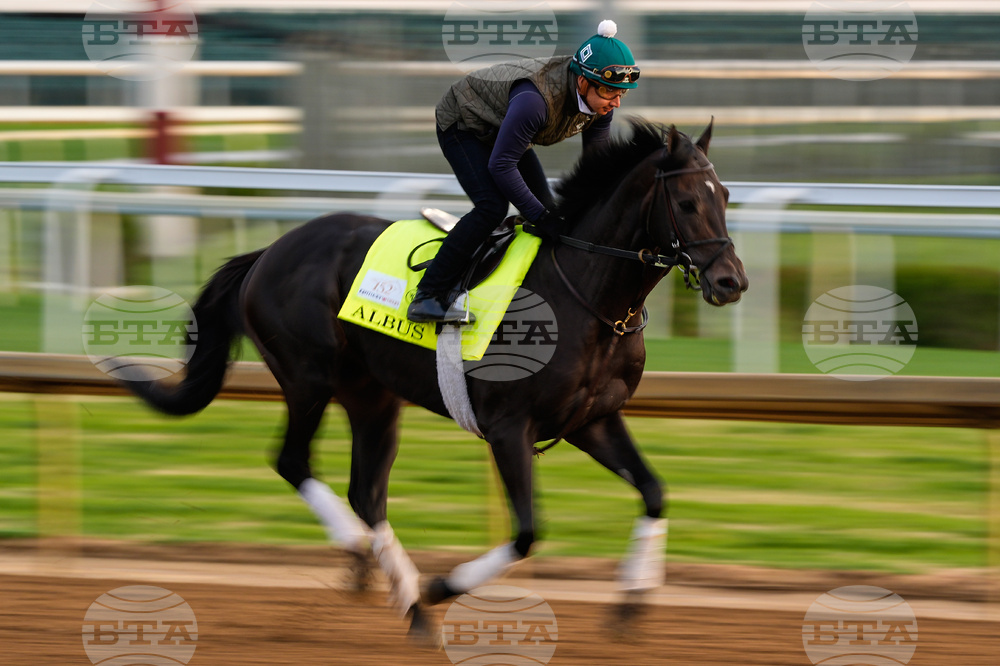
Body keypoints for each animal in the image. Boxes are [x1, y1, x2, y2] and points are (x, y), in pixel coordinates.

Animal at [127, 118, 748, 639]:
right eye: (687, 201)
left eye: (724, 197)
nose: (731, 281)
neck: (587, 294)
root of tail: (268, 252)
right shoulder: (509, 427)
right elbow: (526, 532)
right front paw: (443, 584)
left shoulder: (592, 420)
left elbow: (654, 493)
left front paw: (632, 601)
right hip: (308, 378)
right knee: (294, 461)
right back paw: (370, 563)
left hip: (373, 396)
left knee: (366, 493)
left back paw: (406, 601)